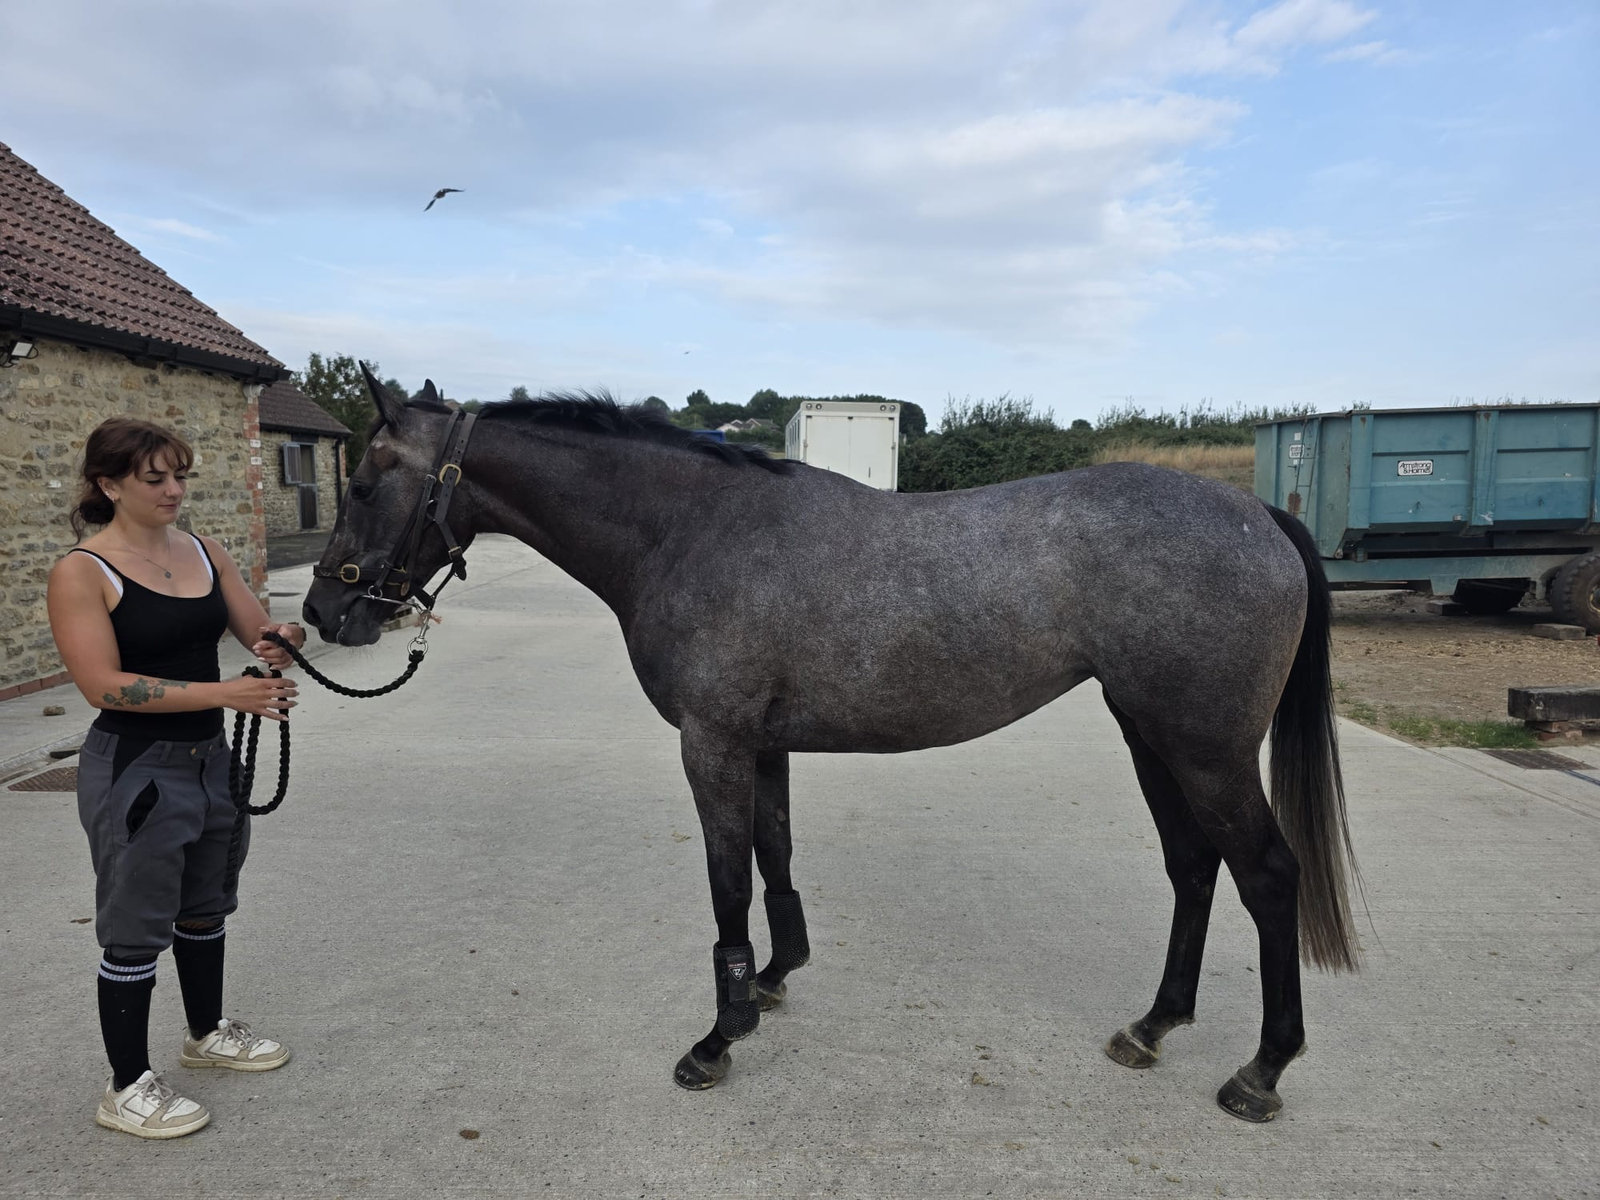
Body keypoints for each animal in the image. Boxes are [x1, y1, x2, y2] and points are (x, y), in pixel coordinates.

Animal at [302, 368, 1361, 1122]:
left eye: (368, 481)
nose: (323, 611)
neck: (690, 528)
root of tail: (1259, 514)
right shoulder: (762, 745)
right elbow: (774, 854)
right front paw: (774, 980)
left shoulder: (713, 744)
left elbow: (728, 880)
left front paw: (717, 1038)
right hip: (1151, 735)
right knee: (1193, 867)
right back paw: (1152, 1026)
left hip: (1205, 749)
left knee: (1267, 875)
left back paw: (1261, 1072)